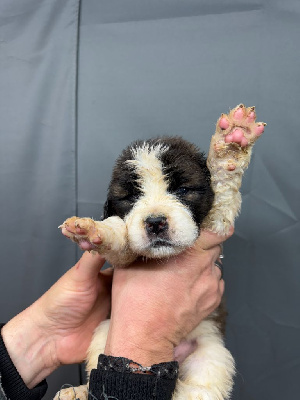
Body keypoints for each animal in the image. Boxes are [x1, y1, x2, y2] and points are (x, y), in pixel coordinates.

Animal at [55, 104, 264, 398]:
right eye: (131, 197)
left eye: (183, 189)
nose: (155, 222)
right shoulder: (125, 256)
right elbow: (120, 234)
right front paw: (93, 230)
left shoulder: (215, 224)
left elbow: (223, 193)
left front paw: (234, 140)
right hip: (104, 332)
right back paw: (78, 391)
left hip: (210, 352)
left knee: (202, 389)